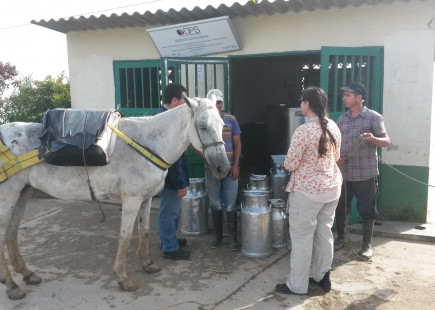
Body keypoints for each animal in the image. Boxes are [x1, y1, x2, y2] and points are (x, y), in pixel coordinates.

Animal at [0, 95, 232, 300]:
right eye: (202, 126)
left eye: (222, 124)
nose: (223, 167)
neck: (148, 143)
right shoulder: (131, 199)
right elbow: (126, 236)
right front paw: (123, 278)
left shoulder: (146, 198)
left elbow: (144, 230)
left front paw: (148, 264)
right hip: (8, 197)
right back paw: (12, 286)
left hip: (22, 193)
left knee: (12, 233)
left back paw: (27, 274)